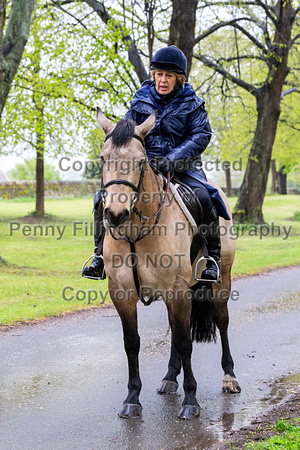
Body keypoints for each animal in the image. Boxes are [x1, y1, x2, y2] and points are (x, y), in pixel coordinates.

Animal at [96, 108, 241, 418]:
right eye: (103, 158)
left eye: (140, 161)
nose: (115, 214)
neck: (136, 231)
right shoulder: (122, 293)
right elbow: (132, 343)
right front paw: (132, 398)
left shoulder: (179, 290)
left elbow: (186, 342)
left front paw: (191, 401)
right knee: (175, 329)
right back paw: (170, 378)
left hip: (221, 279)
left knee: (220, 321)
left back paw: (229, 377)